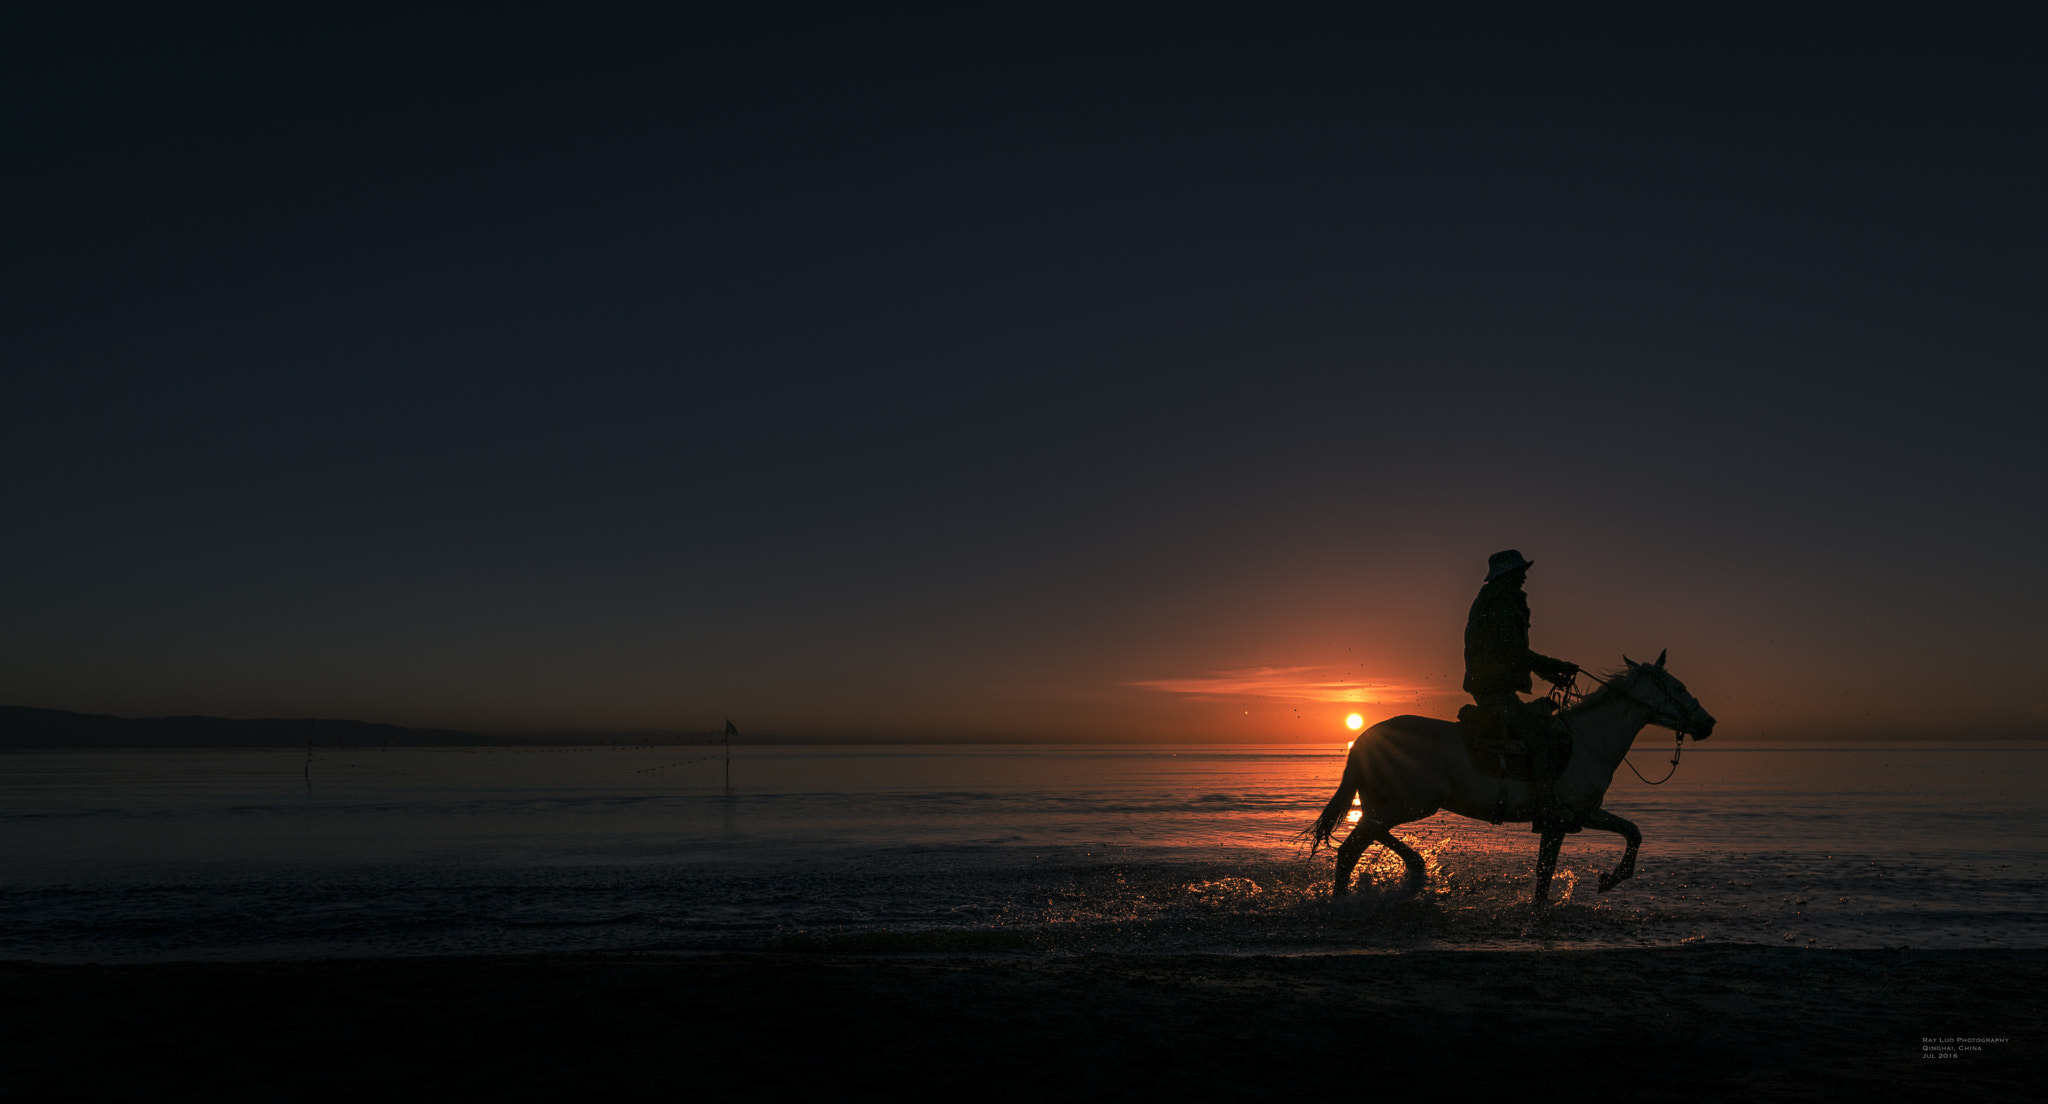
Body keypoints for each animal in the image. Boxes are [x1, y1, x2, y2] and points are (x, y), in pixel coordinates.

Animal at [1302, 655, 1720, 905]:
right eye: (1678, 688)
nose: (1708, 723)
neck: (1588, 741)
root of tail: (1365, 737)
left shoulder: (1580, 815)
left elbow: (1630, 833)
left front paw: (1609, 879)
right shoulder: (1560, 819)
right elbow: (1547, 873)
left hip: (1389, 803)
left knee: (1370, 836)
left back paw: (1414, 869)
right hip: (1413, 803)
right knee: (1352, 847)